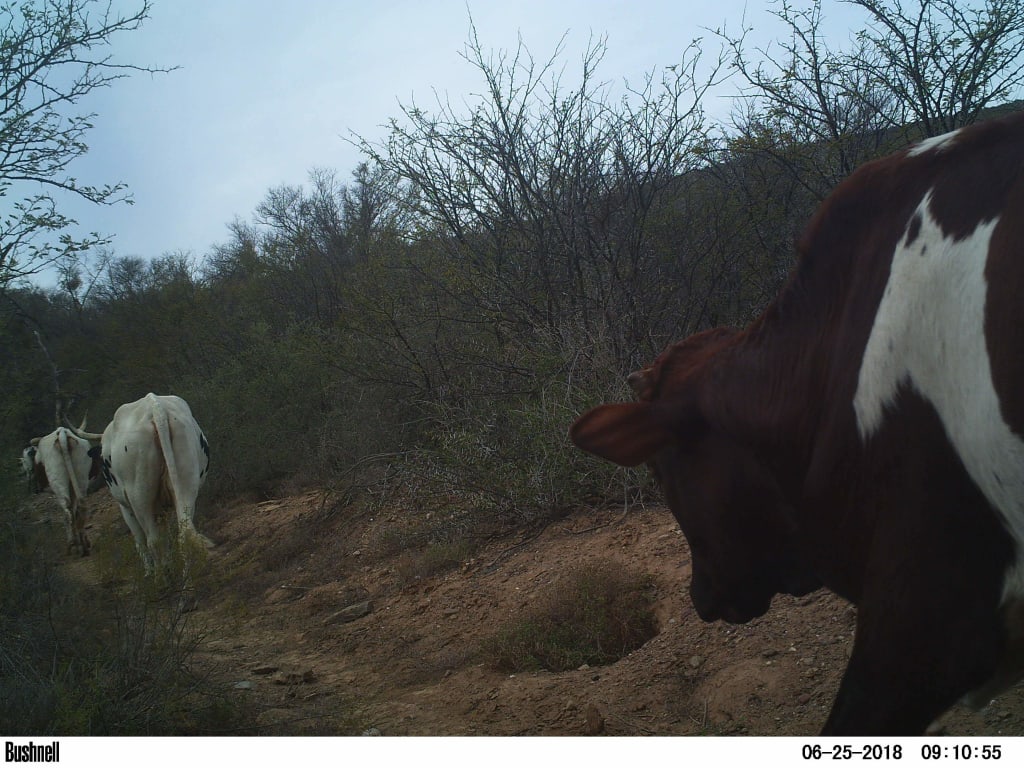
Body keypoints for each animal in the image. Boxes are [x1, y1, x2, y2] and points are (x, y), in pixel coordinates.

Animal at [29, 426, 100, 556]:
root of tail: (62, 433)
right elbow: (74, 510)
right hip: (81, 479)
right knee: (80, 508)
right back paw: (84, 545)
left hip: (58, 482)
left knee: (67, 513)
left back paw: (72, 545)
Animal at [73, 393, 212, 575]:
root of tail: (155, 407)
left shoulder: (125, 508)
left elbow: (140, 541)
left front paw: (149, 571)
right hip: (187, 483)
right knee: (184, 530)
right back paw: (186, 576)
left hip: (139, 497)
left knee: (154, 540)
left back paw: (161, 577)